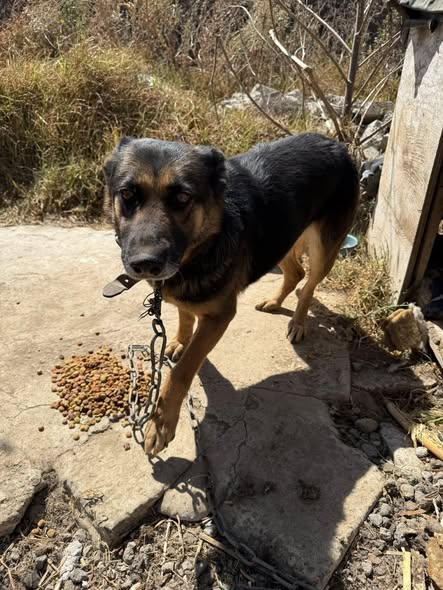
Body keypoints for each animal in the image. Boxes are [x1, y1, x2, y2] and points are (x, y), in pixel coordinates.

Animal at [104, 133, 359, 456]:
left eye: (182, 198)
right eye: (127, 194)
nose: (145, 264)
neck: (204, 245)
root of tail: (335, 143)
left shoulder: (219, 317)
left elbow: (182, 370)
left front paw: (162, 423)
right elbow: (185, 315)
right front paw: (179, 341)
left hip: (323, 249)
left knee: (309, 285)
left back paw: (298, 322)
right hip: (280, 240)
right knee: (296, 274)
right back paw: (274, 302)